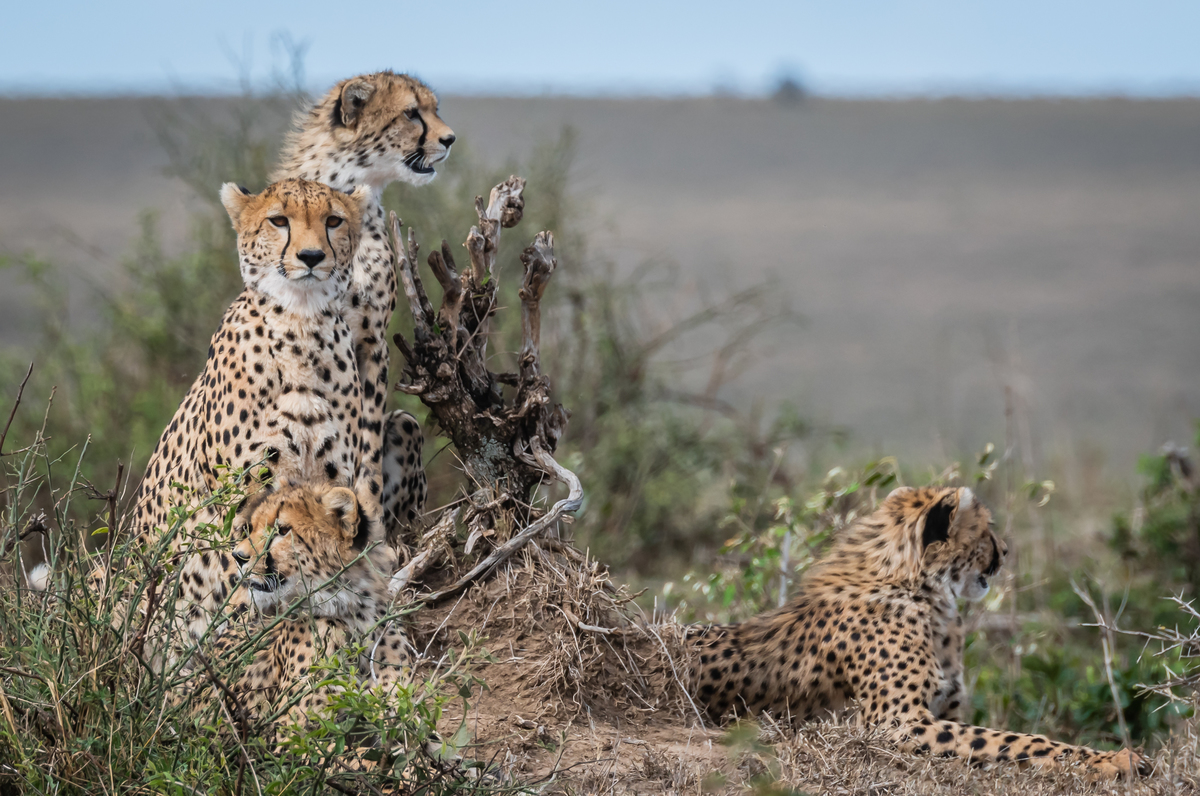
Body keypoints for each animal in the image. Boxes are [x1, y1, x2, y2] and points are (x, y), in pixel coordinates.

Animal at [272, 70, 453, 544]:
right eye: (411, 113)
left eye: (434, 108)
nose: (450, 139)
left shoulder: (372, 341)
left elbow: (365, 438)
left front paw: (365, 518)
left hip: (405, 425)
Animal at [688, 485, 1150, 779]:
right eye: (985, 530)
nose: (1005, 551)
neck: (918, 589)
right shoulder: (896, 723)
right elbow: (1018, 740)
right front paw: (1116, 760)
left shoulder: (944, 711)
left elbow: (1000, 736)